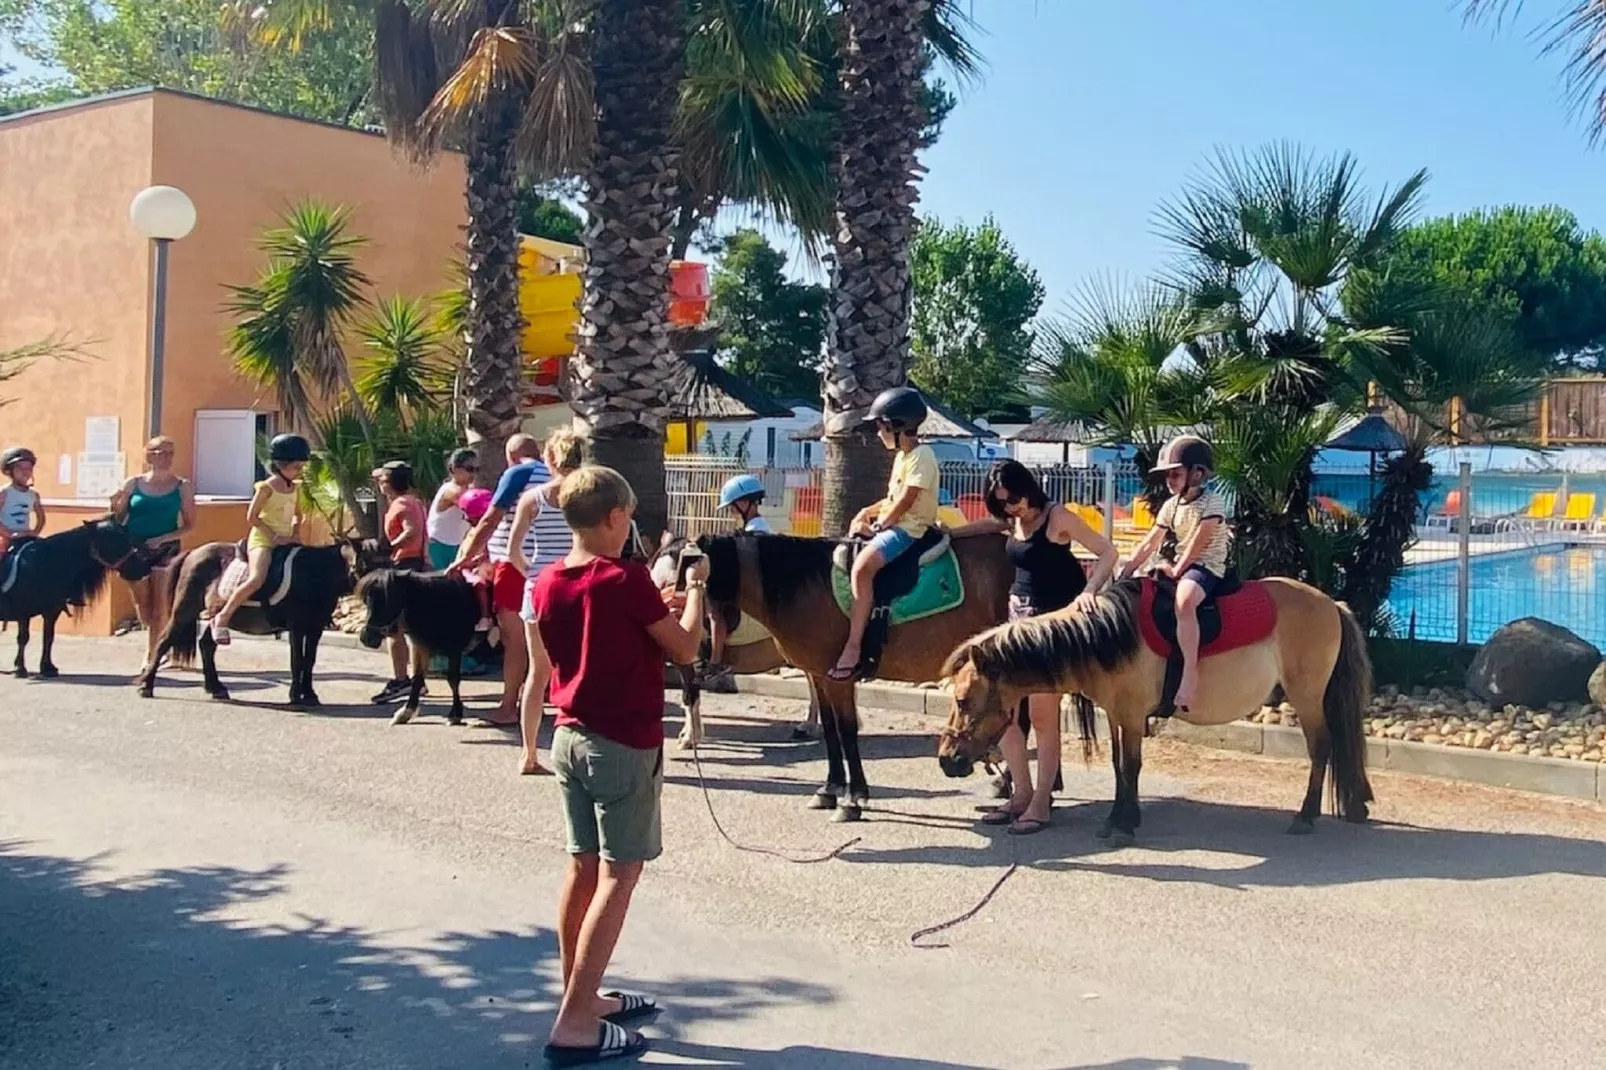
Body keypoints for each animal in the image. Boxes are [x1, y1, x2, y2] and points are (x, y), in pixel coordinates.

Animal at [0, 517, 146, 674]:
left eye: (126, 538)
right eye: (113, 542)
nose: (141, 568)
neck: (43, 565)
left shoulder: (52, 610)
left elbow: (48, 636)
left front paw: (47, 667)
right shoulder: (23, 610)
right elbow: (23, 637)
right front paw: (20, 667)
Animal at [139, 543, 356, 706]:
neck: (314, 571)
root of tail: (192, 553)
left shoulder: (314, 628)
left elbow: (309, 660)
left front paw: (310, 695)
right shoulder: (297, 627)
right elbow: (297, 661)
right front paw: (296, 696)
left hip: (218, 617)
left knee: (206, 645)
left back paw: (216, 688)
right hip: (184, 610)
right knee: (163, 641)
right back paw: (146, 686)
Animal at [362, 565, 481, 726]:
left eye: (389, 600)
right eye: (367, 601)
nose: (366, 637)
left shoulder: (454, 649)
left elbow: (453, 679)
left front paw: (455, 714)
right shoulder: (422, 646)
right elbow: (417, 678)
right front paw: (405, 712)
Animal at [697, 530, 1008, 819]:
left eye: (697, 592)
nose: (700, 653)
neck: (808, 587)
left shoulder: (840, 679)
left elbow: (846, 730)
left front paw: (854, 797)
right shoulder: (819, 675)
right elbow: (830, 729)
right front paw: (829, 788)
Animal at [937, 575, 1374, 841]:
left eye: (962, 700)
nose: (946, 760)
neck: (1110, 636)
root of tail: (1332, 604)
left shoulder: (1132, 717)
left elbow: (1131, 766)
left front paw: (1125, 825)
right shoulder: (1117, 715)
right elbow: (1118, 766)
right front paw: (1115, 819)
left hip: (1307, 696)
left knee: (1321, 747)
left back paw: (1306, 816)